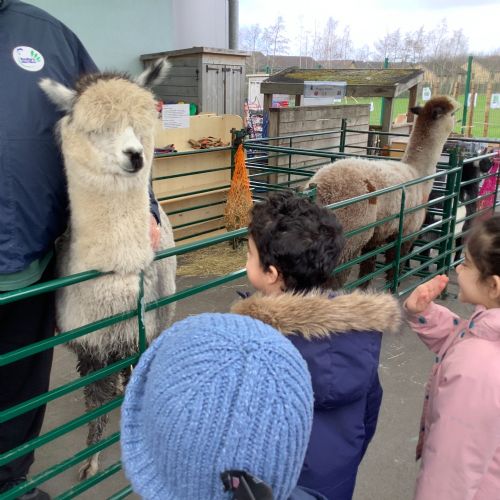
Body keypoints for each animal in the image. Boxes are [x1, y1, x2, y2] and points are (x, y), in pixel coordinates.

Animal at [39, 59, 176, 480]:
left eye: (142, 124)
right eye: (94, 130)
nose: (135, 156)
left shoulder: (139, 333)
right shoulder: (91, 346)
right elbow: (94, 405)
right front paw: (90, 464)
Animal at [307, 96, 458, 289]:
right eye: (453, 113)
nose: (457, 126)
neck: (417, 173)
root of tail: (320, 192)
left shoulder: (376, 237)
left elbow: (367, 270)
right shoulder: (407, 232)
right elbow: (395, 267)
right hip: (349, 240)